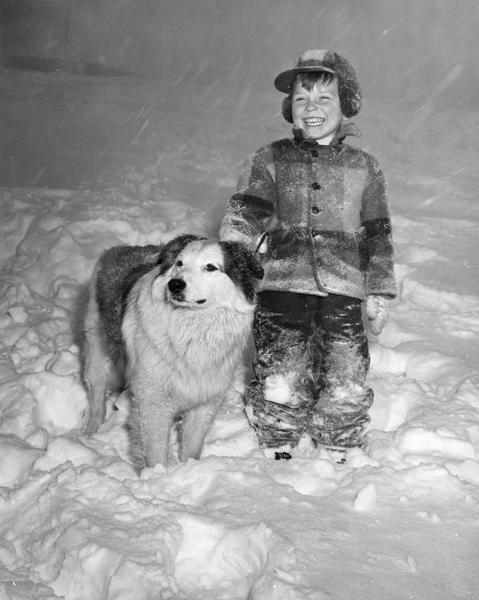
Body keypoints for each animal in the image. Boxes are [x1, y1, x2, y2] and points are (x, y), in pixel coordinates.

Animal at [81, 234, 262, 468]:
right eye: (179, 263)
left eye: (211, 267)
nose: (175, 284)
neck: (193, 329)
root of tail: (116, 250)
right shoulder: (154, 401)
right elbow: (156, 454)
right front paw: (157, 475)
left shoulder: (205, 402)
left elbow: (191, 449)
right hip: (98, 356)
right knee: (97, 400)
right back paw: (90, 435)